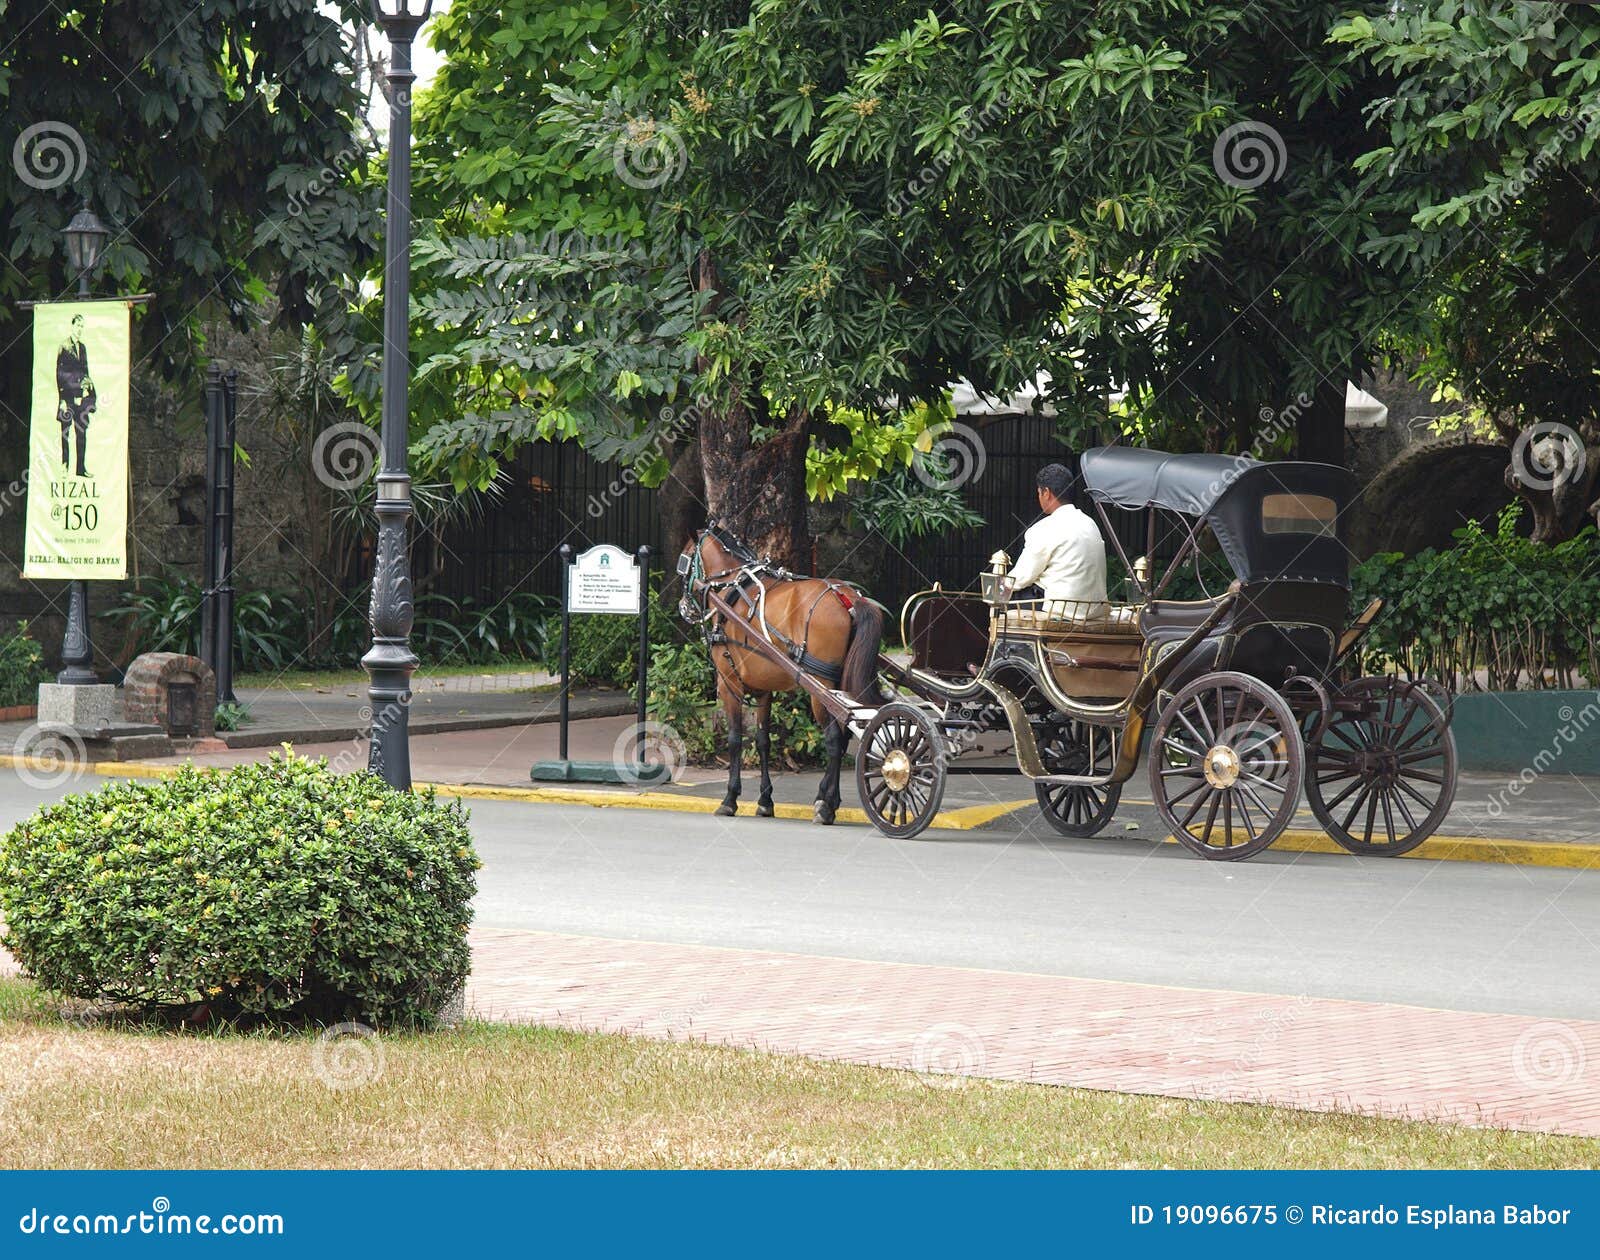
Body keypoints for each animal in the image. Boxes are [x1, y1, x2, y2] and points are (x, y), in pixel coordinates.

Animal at [678, 524, 889, 825]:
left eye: (684, 561)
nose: (683, 606)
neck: (731, 587)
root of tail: (849, 598)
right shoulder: (764, 691)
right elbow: (763, 741)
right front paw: (765, 800)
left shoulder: (729, 684)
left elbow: (734, 739)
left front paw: (730, 799)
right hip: (838, 685)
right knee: (844, 735)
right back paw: (828, 798)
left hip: (820, 689)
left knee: (834, 740)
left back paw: (826, 805)